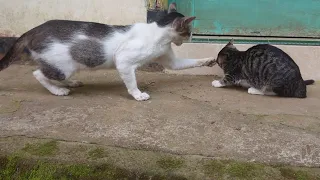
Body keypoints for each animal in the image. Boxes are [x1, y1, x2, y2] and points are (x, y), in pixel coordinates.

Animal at [0, 2, 216, 100]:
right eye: (188, 31)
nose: (190, 37)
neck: (159, 34)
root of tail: (34, 29)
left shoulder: (170, 60)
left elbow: (187, 63)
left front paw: (210, 60)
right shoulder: (123, 60)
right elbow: (131, 81)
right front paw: (137, 94)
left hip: (67, 66)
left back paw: (72, 83)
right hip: (62, 66)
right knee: (38, 73)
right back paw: (58, 90)